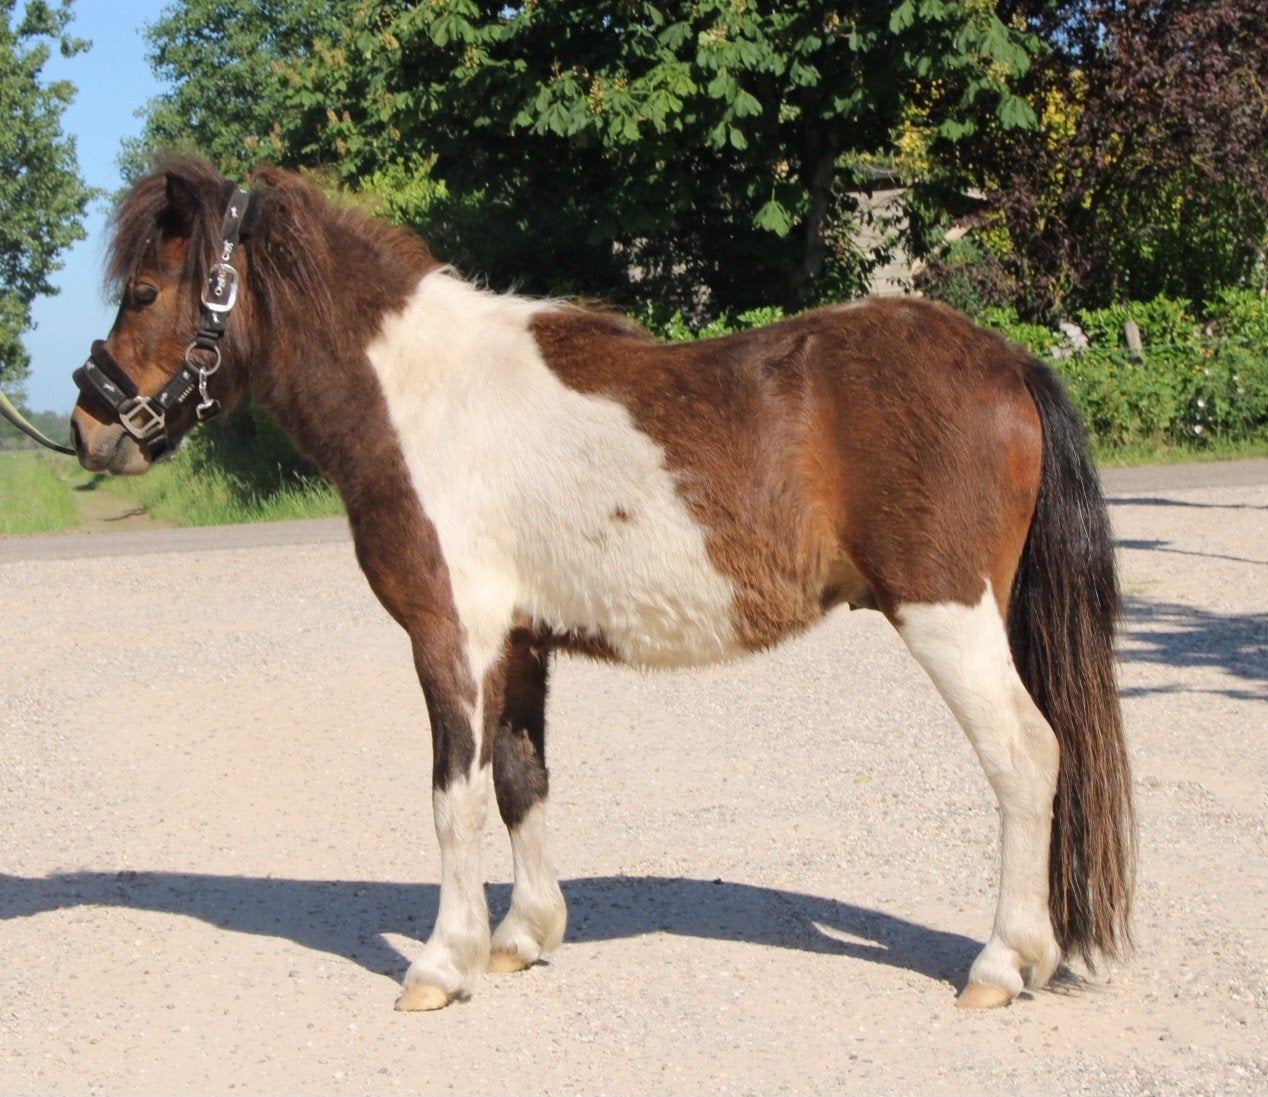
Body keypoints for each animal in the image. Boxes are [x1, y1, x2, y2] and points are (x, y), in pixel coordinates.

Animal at [69, 155, 1134, 1013]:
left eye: (146, 290)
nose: (89, 425)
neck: (424, 399)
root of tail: (1005, 360)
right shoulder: (517, 642)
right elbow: (520, 779)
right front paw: (521, 936)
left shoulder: (448, 636)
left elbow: (452, 796)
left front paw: (441, 962)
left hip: (948, 615)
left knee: (1027, 754)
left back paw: (1001, 964)